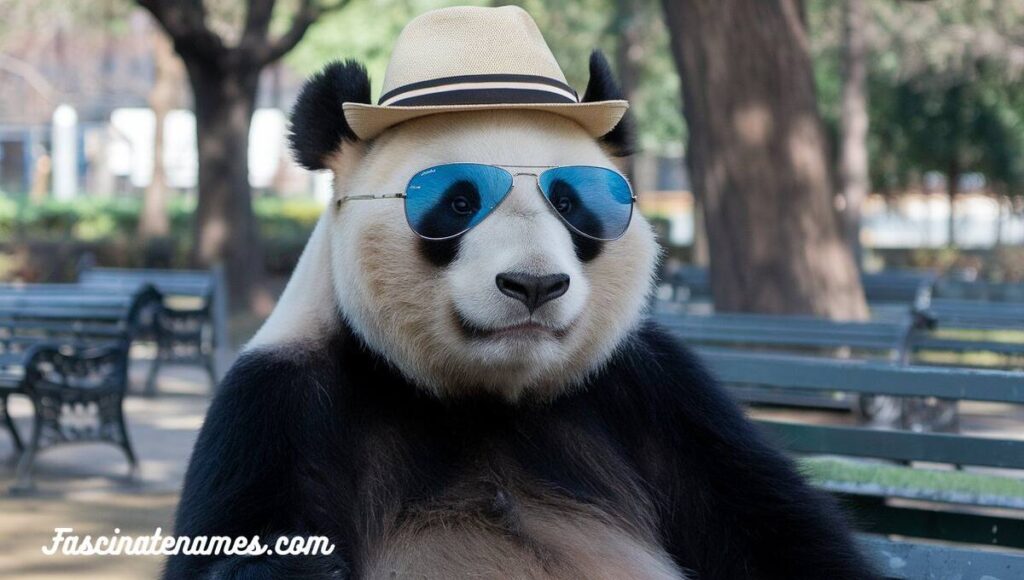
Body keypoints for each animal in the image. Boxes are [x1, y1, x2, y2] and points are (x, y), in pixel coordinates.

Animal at [163, 5, 876, 580]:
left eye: (574, 202)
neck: (485, 400)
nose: (534, 284)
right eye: (457, 202)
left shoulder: (658, 395)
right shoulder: (276, 411)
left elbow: (778, 530)